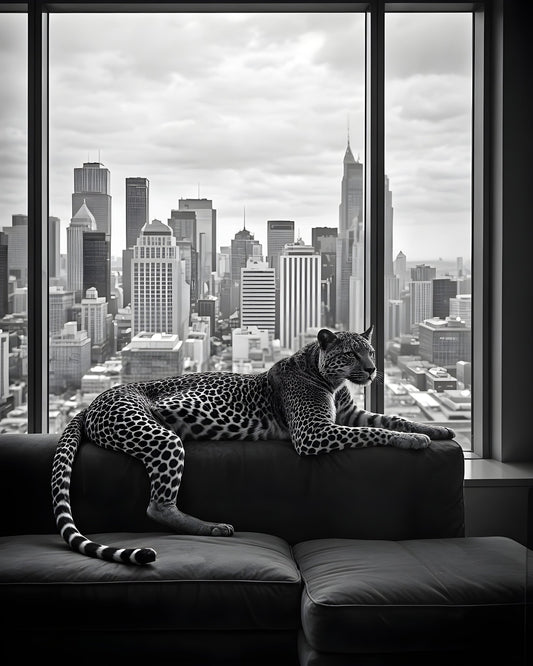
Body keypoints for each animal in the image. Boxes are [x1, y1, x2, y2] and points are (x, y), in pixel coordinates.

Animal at [51, 326, 455, 566]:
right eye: (351, 354)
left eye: (370, 351)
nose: (372, 370)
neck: (330, 378)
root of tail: (92, 401)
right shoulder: (314, 432)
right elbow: (375, 434)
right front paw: (413, 440)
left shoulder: (349, 414)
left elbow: (391, 419)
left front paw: (435, 429)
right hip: (159, 436)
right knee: (158, 506)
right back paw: (213, 528)